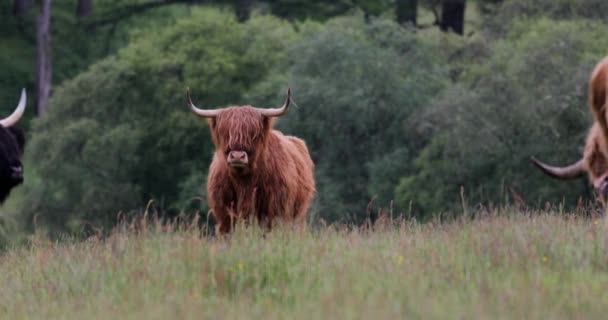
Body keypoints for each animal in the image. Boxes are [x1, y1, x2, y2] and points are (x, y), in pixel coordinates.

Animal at [188, 87, 316, 232]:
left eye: (254, 134)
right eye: (225, 133)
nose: (237, 156)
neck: (244, 182)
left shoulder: (275, 210)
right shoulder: (225, 215)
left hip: (297, 215)